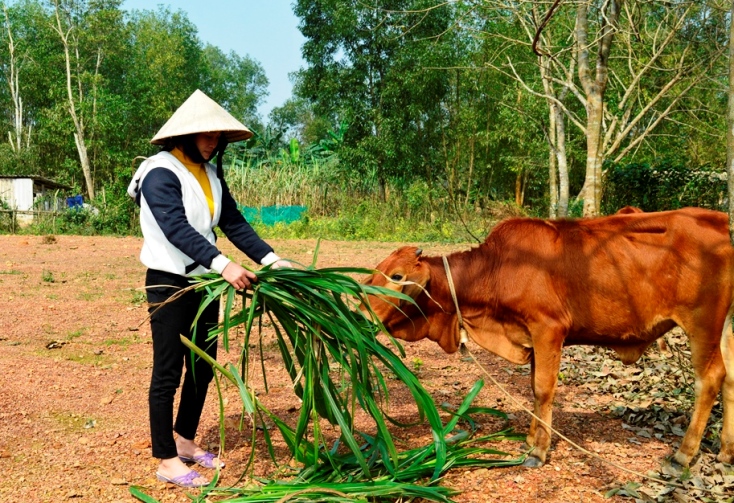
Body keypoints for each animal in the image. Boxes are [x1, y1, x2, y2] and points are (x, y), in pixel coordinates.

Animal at [366, 208, 734, 468]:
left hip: (702, 323)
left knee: (710, 379)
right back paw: (726, 453)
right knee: (730, 379)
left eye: (396, 276)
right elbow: (532, 389)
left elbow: (543, 390)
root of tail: (719, 221)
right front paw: (531, 440)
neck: (497, 268)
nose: (361, 310)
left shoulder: (548, 330)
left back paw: (683, 456)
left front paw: (538, 451)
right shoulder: (531, 337)